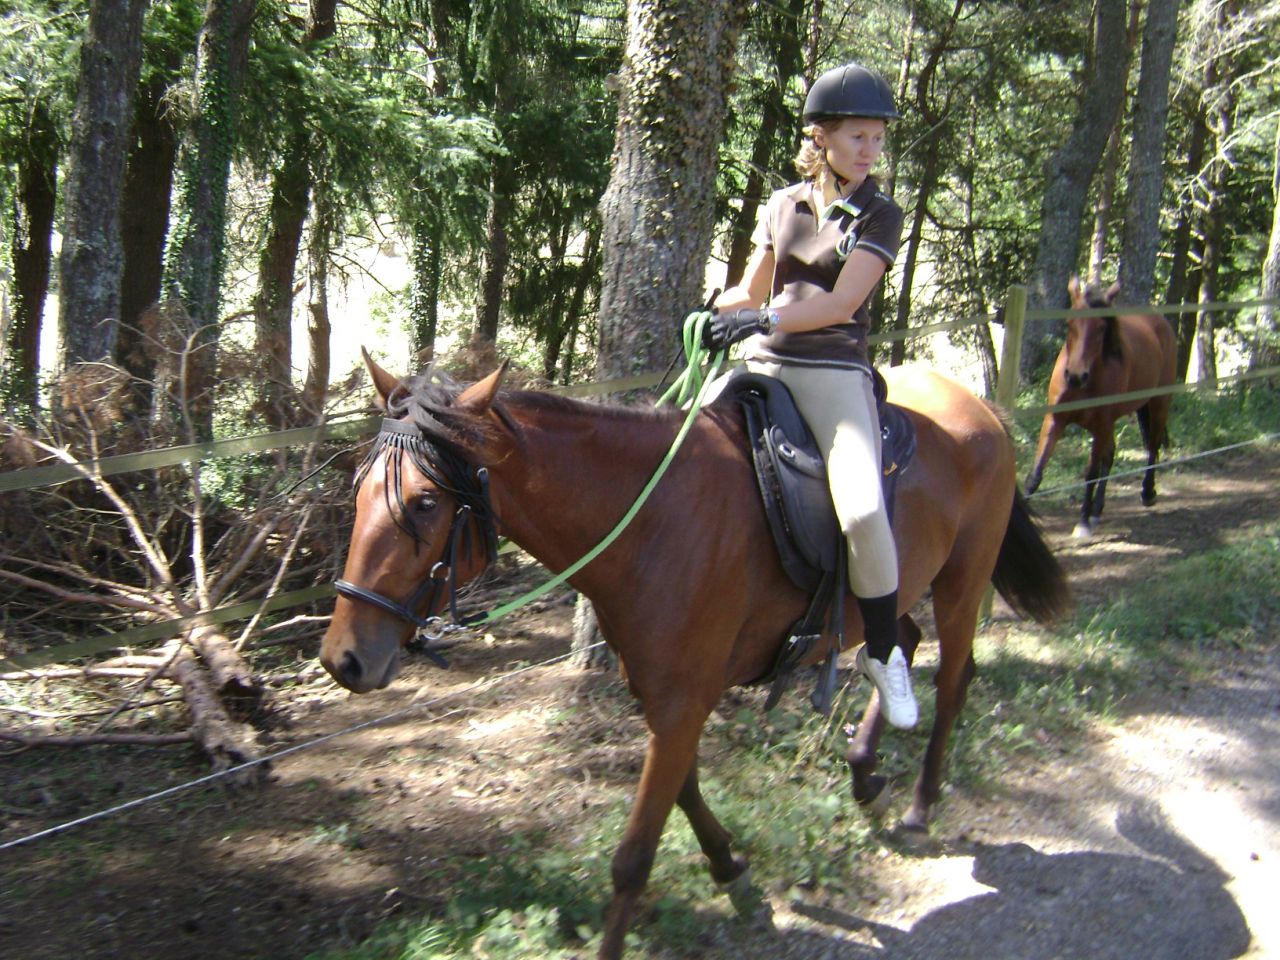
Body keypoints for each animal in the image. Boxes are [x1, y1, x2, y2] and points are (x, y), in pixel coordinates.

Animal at [320, 352, 1072, 960]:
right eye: (358, 490)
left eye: (424, 502)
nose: (342, 659)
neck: (651, 521)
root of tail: (978, 405)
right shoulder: (663, 696)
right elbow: (683, 793)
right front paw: (734, 876)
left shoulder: (683, 702)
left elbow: (633, 858)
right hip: (890, 593)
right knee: (903, 647)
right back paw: (864, 775)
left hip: (962, 578)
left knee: (954, 677)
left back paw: (920, 803)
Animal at [1024, 277, 1177, 537]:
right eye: (1070, 323)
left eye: (1101, 328)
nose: (1076, 376)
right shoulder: (1055, 420)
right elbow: (1036, 474)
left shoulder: (1101, 423)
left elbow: (1091, 472)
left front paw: (1083, 522)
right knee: (1112, 454)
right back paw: (1098, 510)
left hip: (1157, 404)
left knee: (1152, 446)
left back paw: (1147, 493)